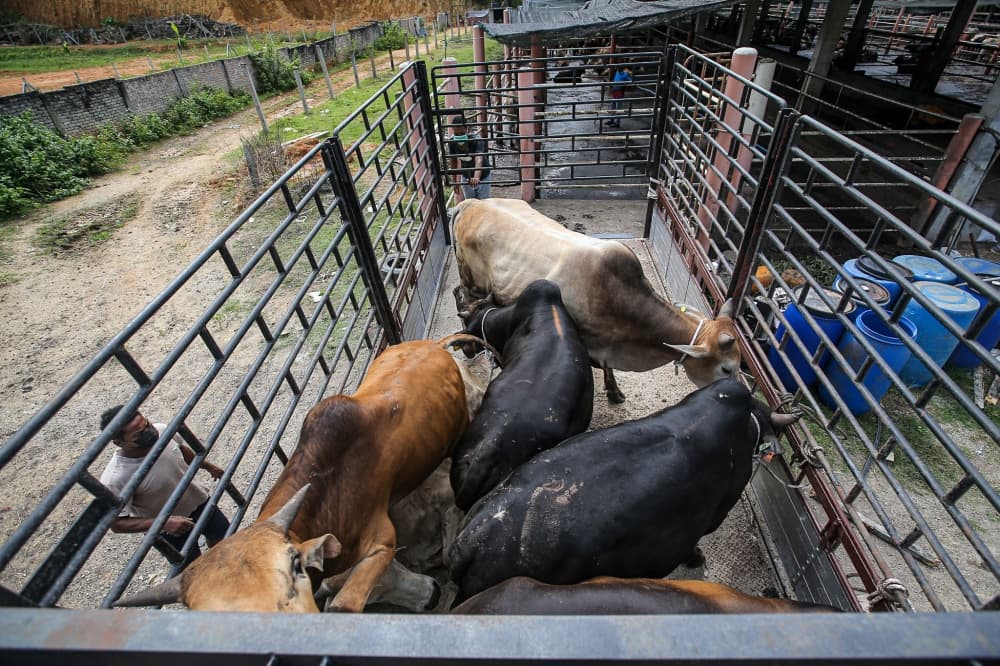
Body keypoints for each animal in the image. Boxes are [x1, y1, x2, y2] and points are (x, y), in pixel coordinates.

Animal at [115, 336, 487, 613]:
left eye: (296, 568)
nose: (434, 596)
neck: (321, 498)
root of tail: (432, 344)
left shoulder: (381, 540)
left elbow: (344, 606)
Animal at [451, 197, 740, 403]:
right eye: (726, 369)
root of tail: (471, 203)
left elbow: (608, 368)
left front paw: (614, 391)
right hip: (472, 281)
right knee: (464, 300)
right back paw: (468, 348)